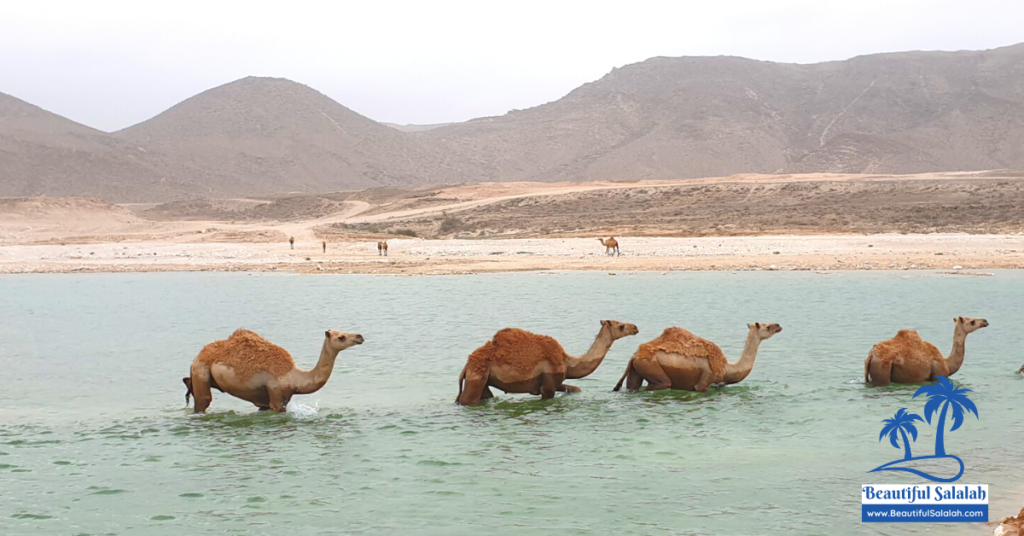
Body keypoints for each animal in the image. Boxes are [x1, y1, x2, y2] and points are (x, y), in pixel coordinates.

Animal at [183, 330, 364, 414]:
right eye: (341, 337)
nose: (359, 336)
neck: (295, 377)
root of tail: (197, 357)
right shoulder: (277, 396)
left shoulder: (267, 400)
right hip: (201, 372)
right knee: (203, 400)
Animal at [458, 321, 638, 405]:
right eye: (621, 326)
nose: (635, 327)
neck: (568, 361)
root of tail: (466, 365)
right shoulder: (549, 384)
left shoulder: (551, 383)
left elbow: (575, 389)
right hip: (477, 378)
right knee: (466, 400)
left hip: (484, 381)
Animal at [614, 323, 782, 393]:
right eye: (767, 326)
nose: (778, 325)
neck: (727, 368)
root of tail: (634, 355)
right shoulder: (704, 382)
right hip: (651, 366)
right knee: (661, 384)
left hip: (636, 369)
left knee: (632, 386)